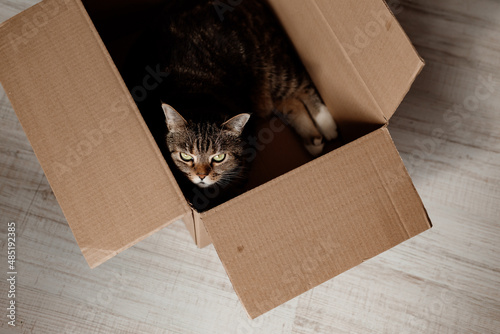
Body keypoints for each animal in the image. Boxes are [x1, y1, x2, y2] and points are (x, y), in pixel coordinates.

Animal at [127, 0, 338, 206]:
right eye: (185, 156)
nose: (201, 176)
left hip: (273, 69)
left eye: (219, 157)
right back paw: (313, 139)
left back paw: (327, 124)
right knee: (290, 103)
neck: (197, 97)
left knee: (303, 86)